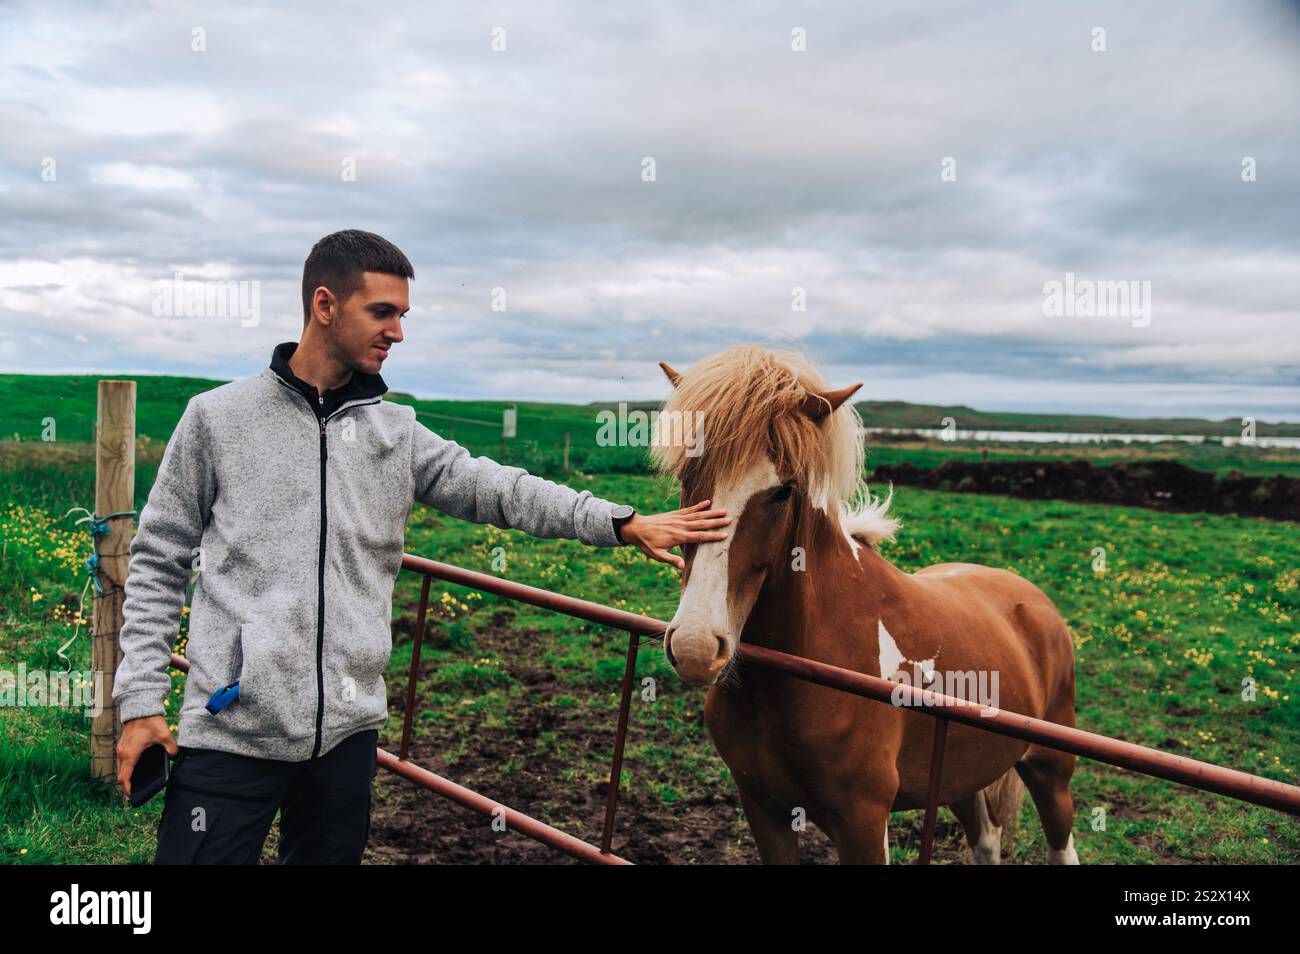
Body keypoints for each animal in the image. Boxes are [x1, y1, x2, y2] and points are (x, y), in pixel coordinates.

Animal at [647, 345, 1076, 868]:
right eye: (687, 475)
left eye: (783, 490)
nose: (694, 648)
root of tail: (1032, 599)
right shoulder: (763, 809)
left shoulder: (863, 823)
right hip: (960, 775)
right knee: (986, 839)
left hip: (1050, 770)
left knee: (1061, 842)